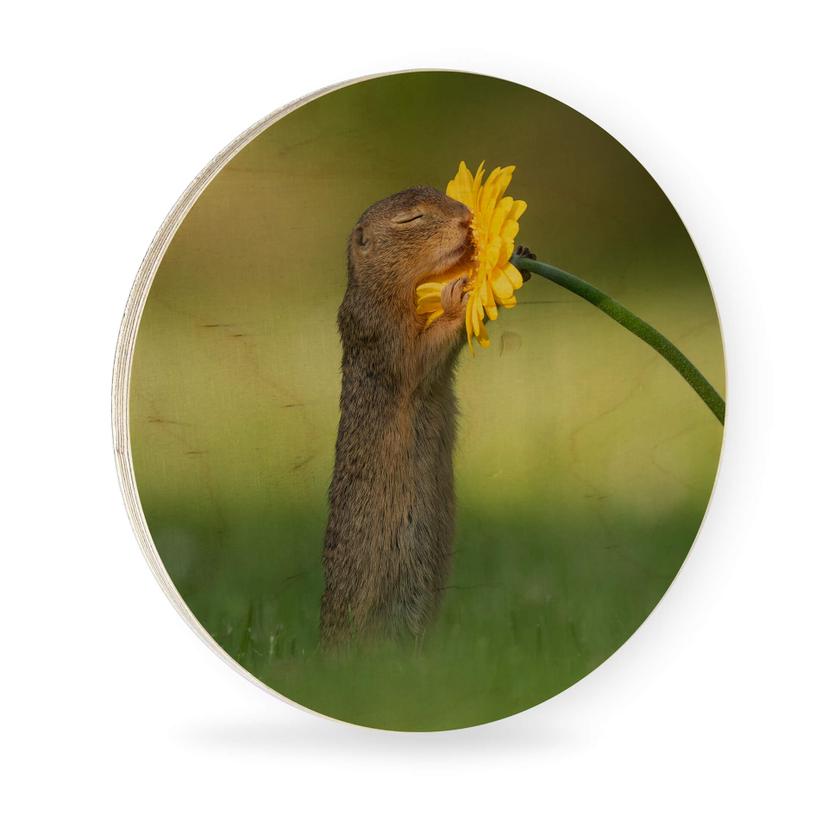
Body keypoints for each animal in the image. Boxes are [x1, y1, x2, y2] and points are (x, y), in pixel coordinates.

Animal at [320, 186, 473, 645]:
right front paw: (457, 298)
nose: (466, 218)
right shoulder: (382, 332)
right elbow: (419, 358)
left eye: (443, 193)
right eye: (411, 219)